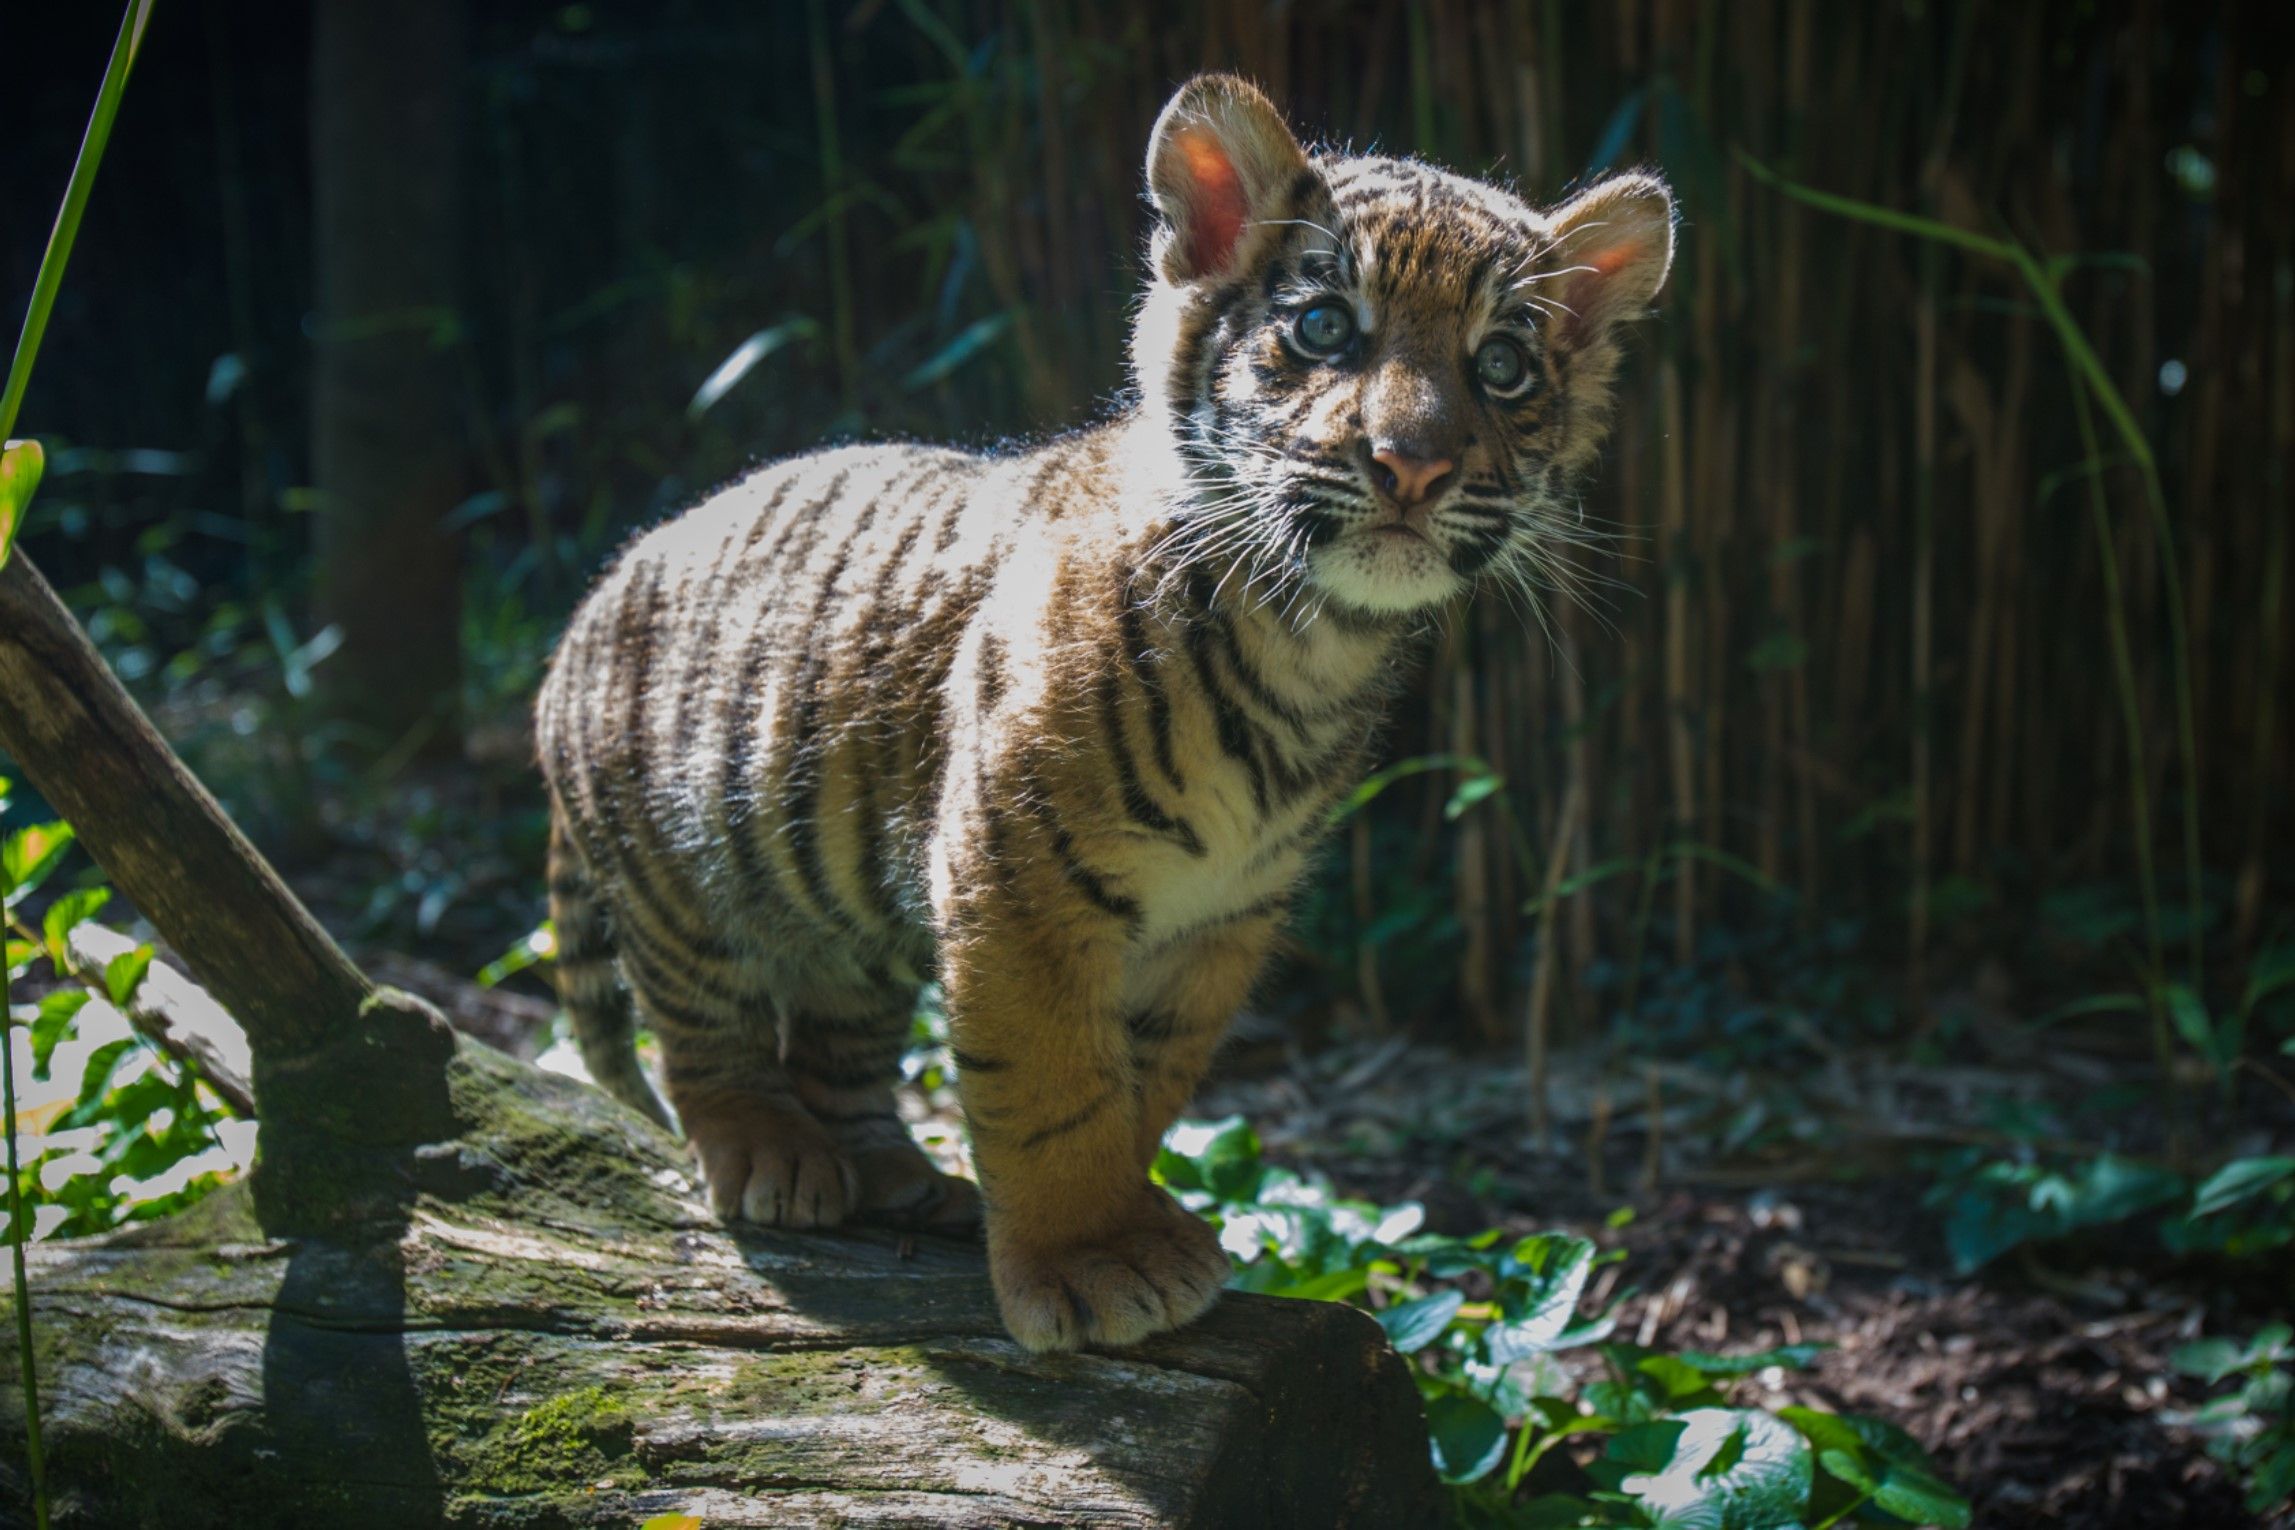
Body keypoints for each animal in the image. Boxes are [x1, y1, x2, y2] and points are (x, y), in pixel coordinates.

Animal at [535, 73, 1672, 1353]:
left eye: (1504, 366)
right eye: (1325, 328)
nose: (1413, 466)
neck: (1307, 645)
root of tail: (606, 583)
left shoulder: (1220, 920)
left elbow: (1143, 1088)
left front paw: (1133, 1222)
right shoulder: (1015, 879)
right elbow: (1050, 1085)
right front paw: (1087, 1264)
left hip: (848, 925)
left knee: (841, 1046)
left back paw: (898, 1180)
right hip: (682, 877)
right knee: (702, 1032)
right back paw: (769, 1153)